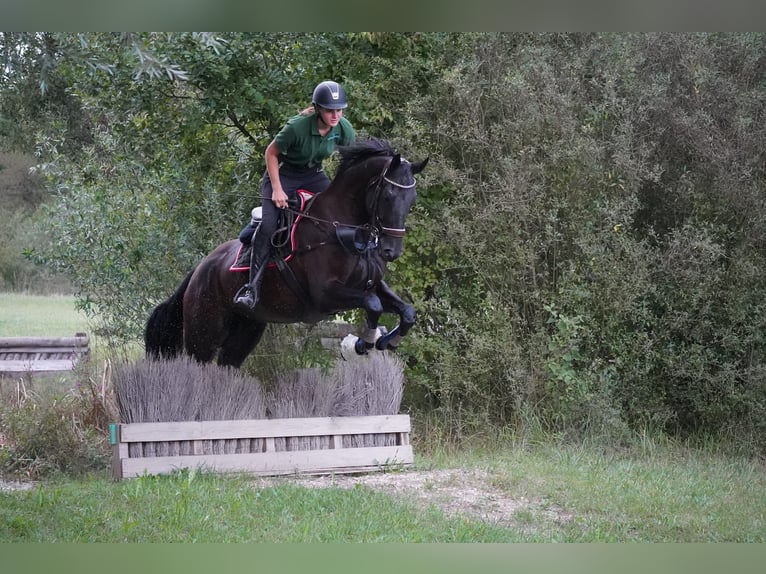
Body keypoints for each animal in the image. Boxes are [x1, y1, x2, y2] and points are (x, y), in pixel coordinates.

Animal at [144, 137, 428, 366]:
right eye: (388, 195)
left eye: (412, 199)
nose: (391, 251)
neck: (343, 229)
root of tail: (199, 270)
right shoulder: (325, 295)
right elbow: (373, 304)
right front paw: (363, 343)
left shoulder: (371, 284)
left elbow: (406, 311)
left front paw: (386, 342)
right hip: (203, 333)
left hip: (245, 331)